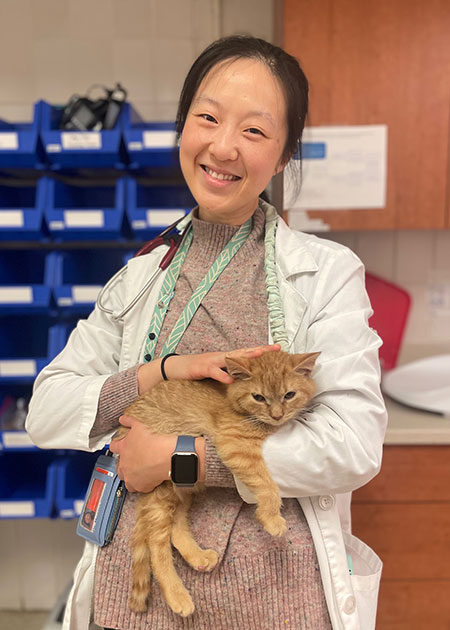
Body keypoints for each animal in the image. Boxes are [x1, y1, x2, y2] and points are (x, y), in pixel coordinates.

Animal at [116, 354, 320, 620]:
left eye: (289, 394)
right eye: (258, 397)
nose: (277, 415)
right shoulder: (237, 447)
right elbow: (267, 485)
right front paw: (272, 518)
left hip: (181, 490)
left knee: (176, 528)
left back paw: (198, 556)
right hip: (163, 491)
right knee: (156, 544)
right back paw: (177, 595)